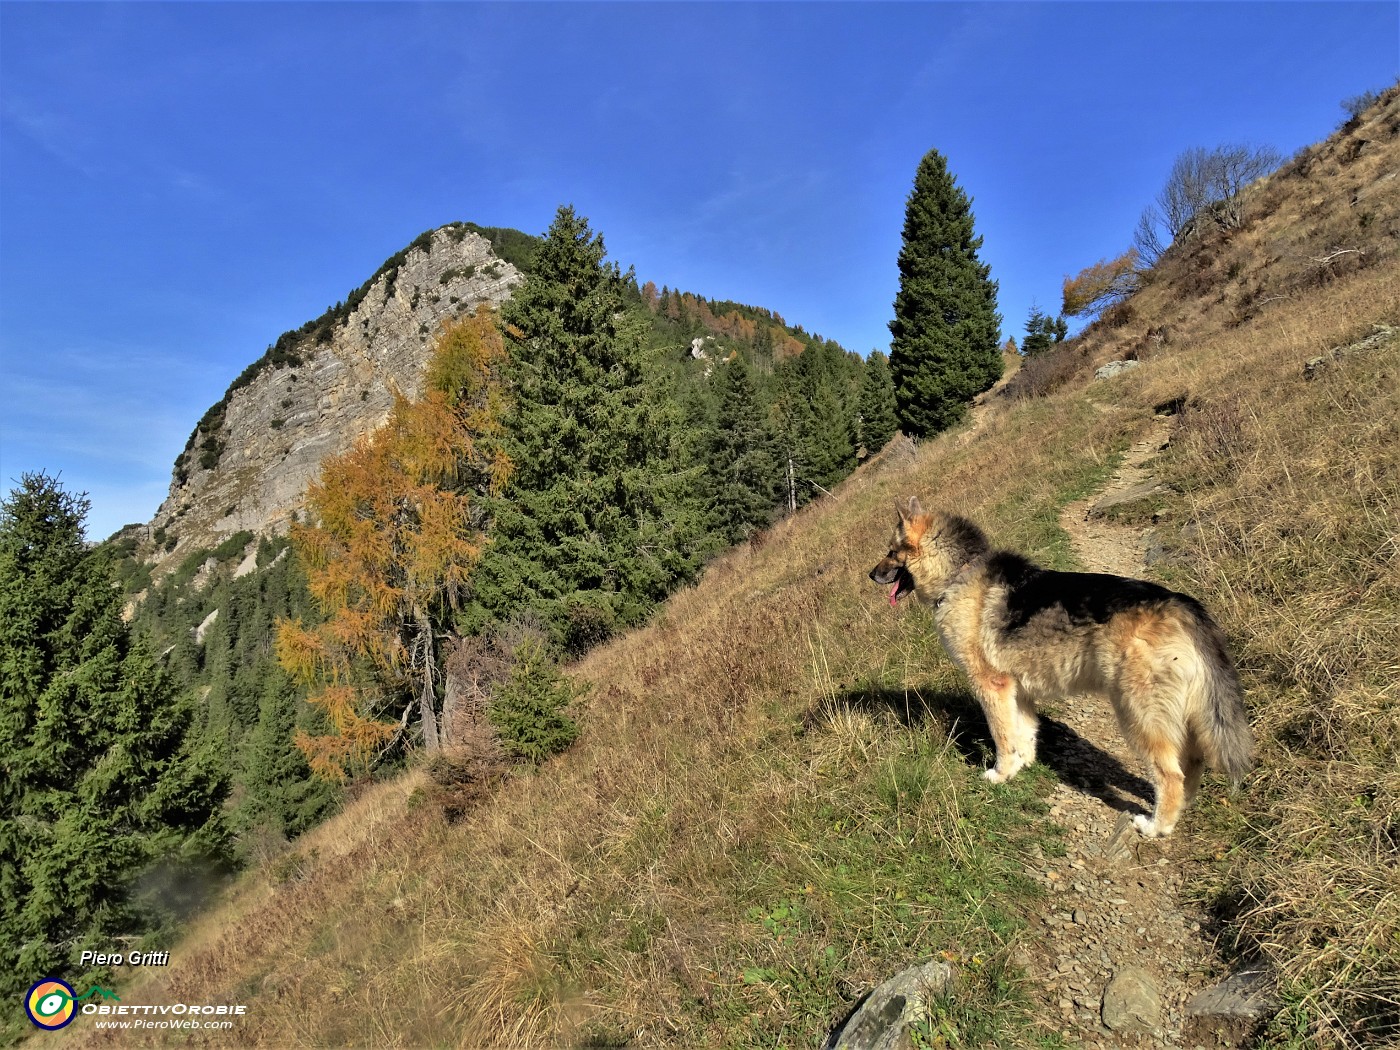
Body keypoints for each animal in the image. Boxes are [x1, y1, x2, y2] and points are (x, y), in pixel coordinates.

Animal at [868, 498, 1254, 840]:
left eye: (891, 551)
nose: (871, 574)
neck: (959, 573)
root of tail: (1181, 605)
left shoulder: (992, 686)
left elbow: (1002, 736)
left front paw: (1000, 773)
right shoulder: (1018, 690)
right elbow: (1023, 733)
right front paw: (1021, 766)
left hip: (1139, 714)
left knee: (1171, 775)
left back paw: (1156, 826)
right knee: (1192, 766)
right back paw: (1178, 812)